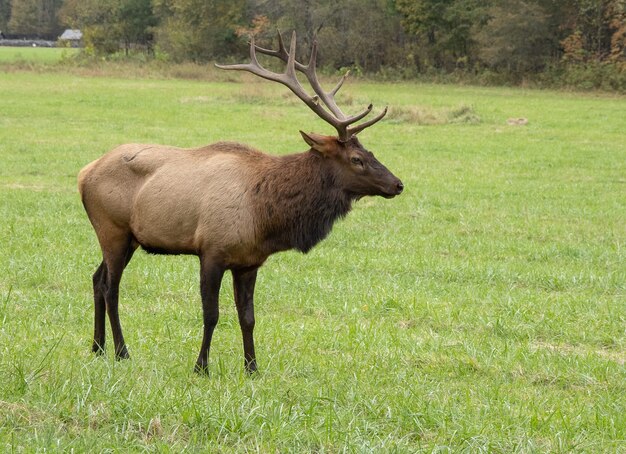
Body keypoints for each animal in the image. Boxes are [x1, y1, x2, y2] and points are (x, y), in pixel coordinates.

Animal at [78, 31, 402, 372]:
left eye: (370, 152)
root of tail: (84, 173)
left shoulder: (249, 261)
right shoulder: (211, 250)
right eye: (357, 159)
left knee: (97, 278)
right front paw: (202, 367)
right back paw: (121, 350)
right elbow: (211, 314)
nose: (397, 184)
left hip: (130, 238)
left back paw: (97, 347)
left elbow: (248, 317)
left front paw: (252, 368)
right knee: (111, 288)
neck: (265, 217)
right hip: (112, 229)